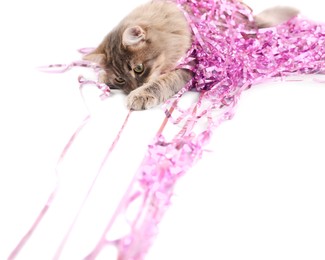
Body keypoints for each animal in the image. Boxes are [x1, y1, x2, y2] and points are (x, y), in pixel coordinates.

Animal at [82, 0, 298, 109]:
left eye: (138, 68)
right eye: (120, 79)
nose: (134, 87)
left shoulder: (189, 66)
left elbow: (161, 82)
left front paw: (141, 94)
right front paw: (103, 76)